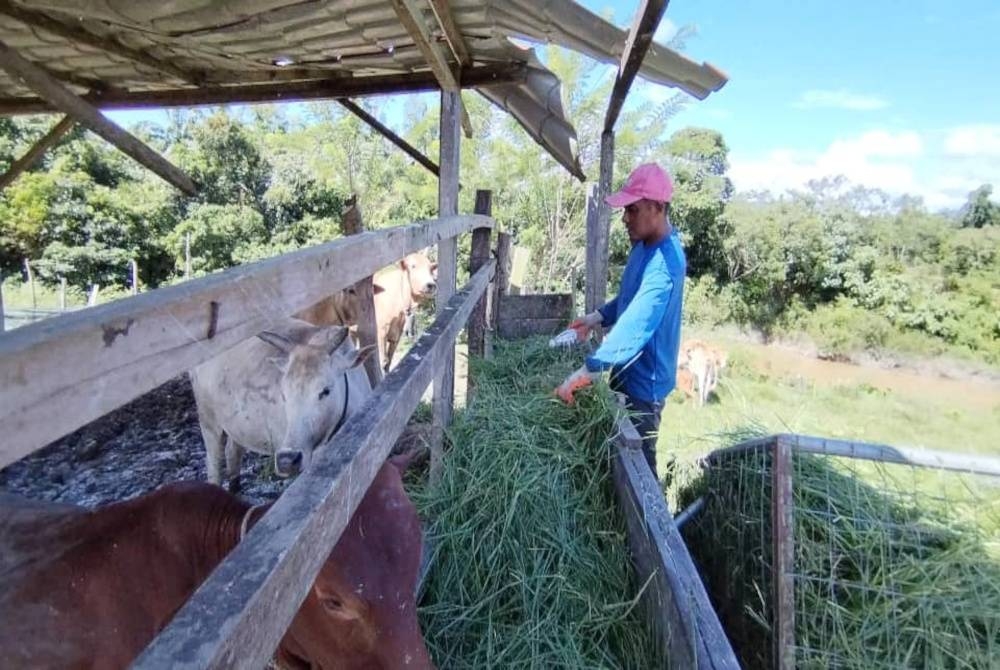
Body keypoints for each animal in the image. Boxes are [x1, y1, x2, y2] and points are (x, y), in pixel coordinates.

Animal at [189, 320, 374, 494]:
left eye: (325, 390)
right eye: (284, 394)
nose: (287, 460)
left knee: (232, 452)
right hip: (208, 422)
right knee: (214, 464)